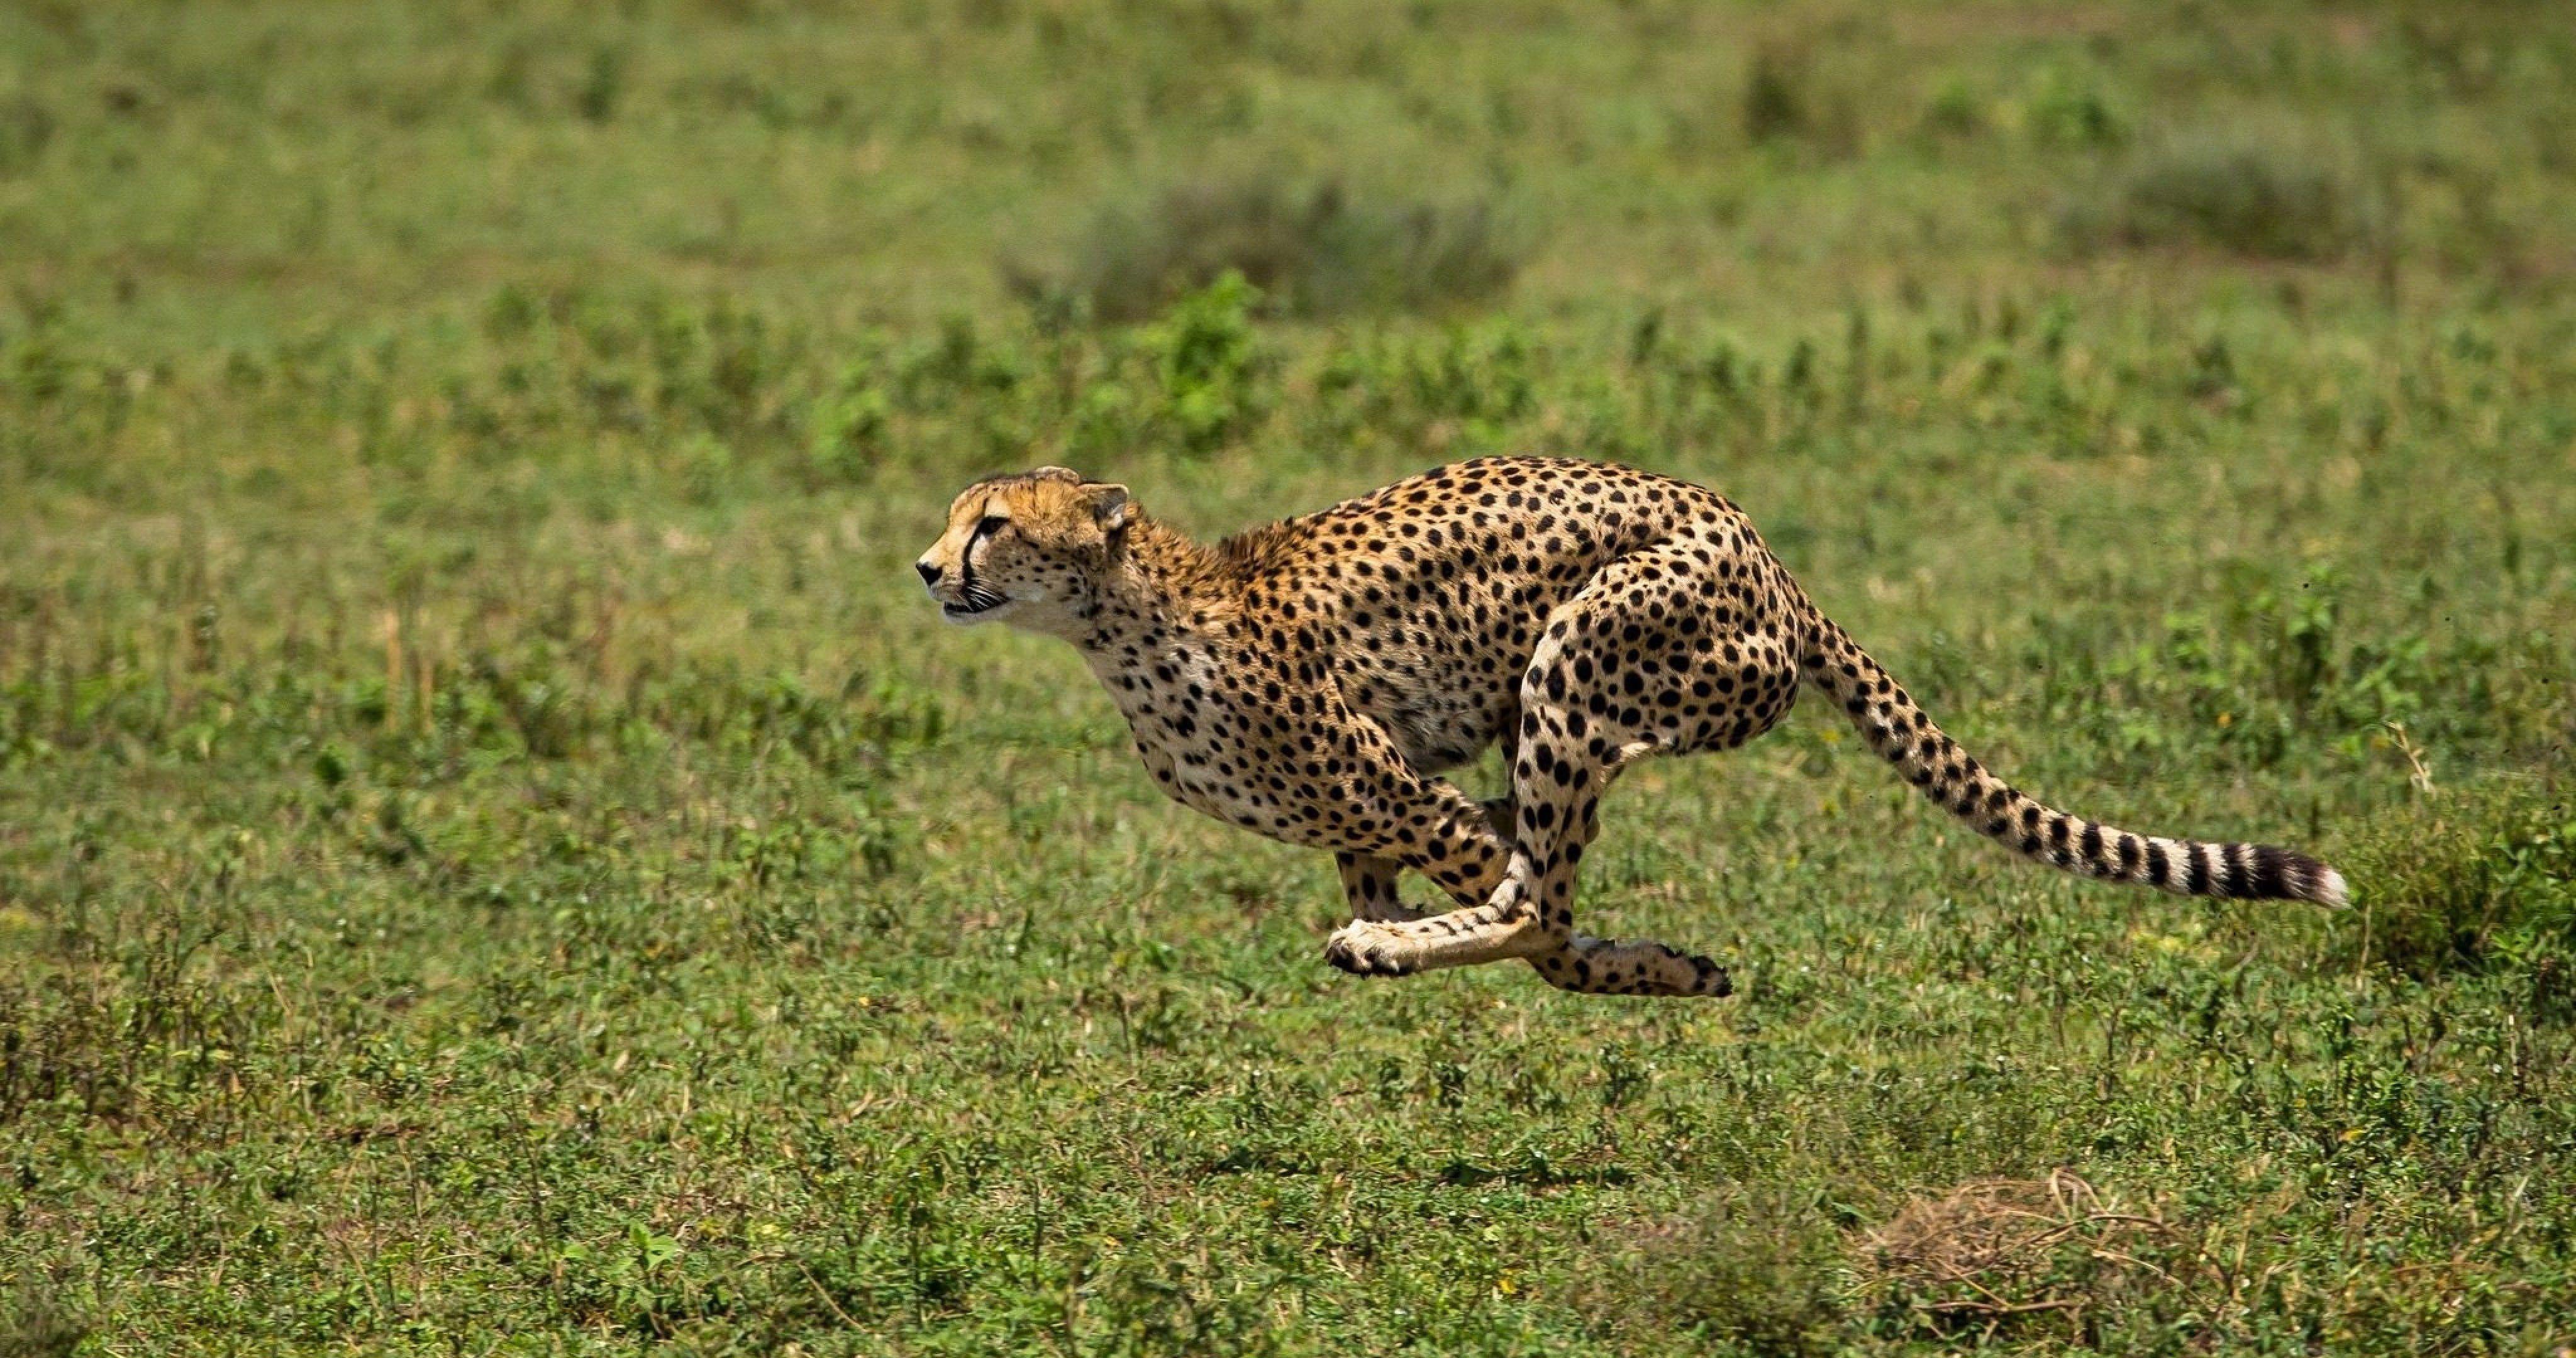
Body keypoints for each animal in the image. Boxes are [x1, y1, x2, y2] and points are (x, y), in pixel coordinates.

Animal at [914, 457, 2346, 998]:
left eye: (993, 524)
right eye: (955, 516)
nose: (926, 569)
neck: (1118, 622)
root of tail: (1763, 547)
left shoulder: (1409, 793)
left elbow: (1530, 909)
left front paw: (1609, 959)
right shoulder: (1363, 818)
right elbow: (1489, 888)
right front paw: (1662, 962)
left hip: (1577, 661)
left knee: (1537, 896)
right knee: (1538, 880)